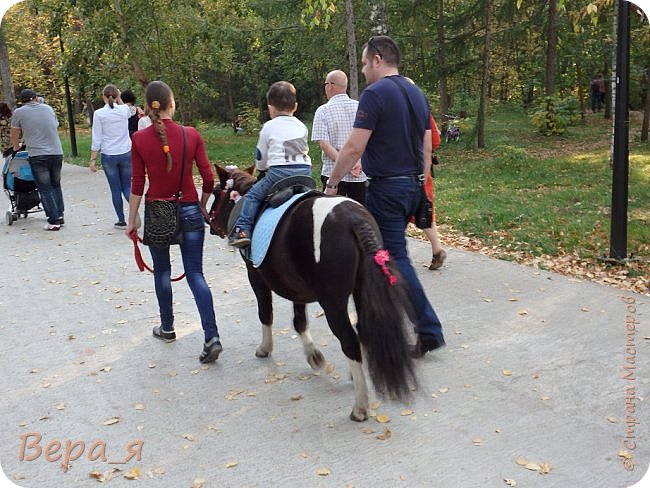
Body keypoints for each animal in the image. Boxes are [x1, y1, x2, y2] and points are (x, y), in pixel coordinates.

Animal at [210, 166, 418, 422]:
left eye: (216, 192)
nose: (210, 223)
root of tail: (355, 220)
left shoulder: (255, 277)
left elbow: (265, 313)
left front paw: (265, 348)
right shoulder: (297, 287)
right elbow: (299, 321)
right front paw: (313, 355)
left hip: (333, 303)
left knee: (349, 340)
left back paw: (360, 406)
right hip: (360, 292)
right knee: (362, 330)